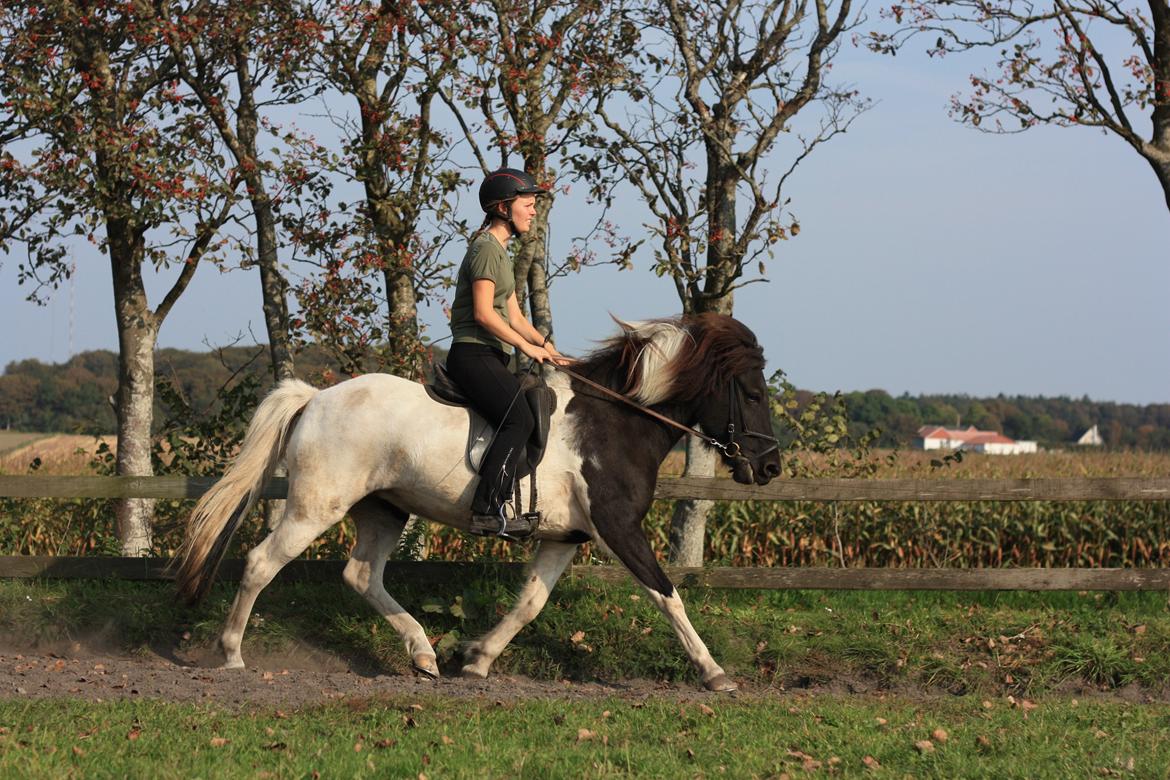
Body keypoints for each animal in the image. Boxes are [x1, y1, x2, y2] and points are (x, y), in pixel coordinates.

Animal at [175, 313, 776, 692]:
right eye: (751, 393)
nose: (769, 469)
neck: (614, 424)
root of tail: (316, 398)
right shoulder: (619, 529)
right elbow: (667, 595)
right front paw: (714, 673)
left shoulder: (565, 537)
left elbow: (530, 603)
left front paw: (476, 660)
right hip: (315, 506)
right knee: (261, 563)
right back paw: (231, 653)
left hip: (385, 509)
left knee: (361, 575)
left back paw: (424, 655)